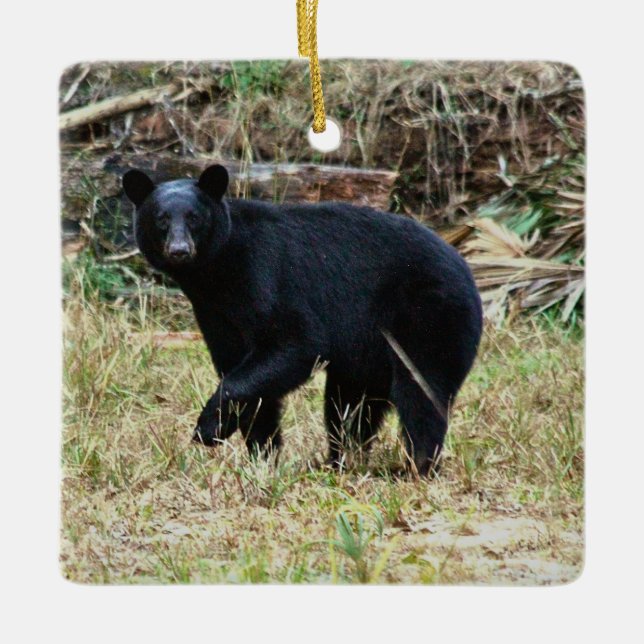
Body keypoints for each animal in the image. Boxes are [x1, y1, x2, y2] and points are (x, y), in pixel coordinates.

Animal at [122, 164, 483, 475]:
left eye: (194, 218)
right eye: (161, 219)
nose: (179, 250)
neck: (217, 274)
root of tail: (465, 270)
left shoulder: (264, 276)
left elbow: (294, 343)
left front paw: (208, 427)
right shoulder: (216, 315)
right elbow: (246, 376)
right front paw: (262, 457)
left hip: (428, 315)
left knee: (420, 391)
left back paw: (415, 467)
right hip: (369, 350)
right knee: (349, 405)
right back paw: (341, 461)